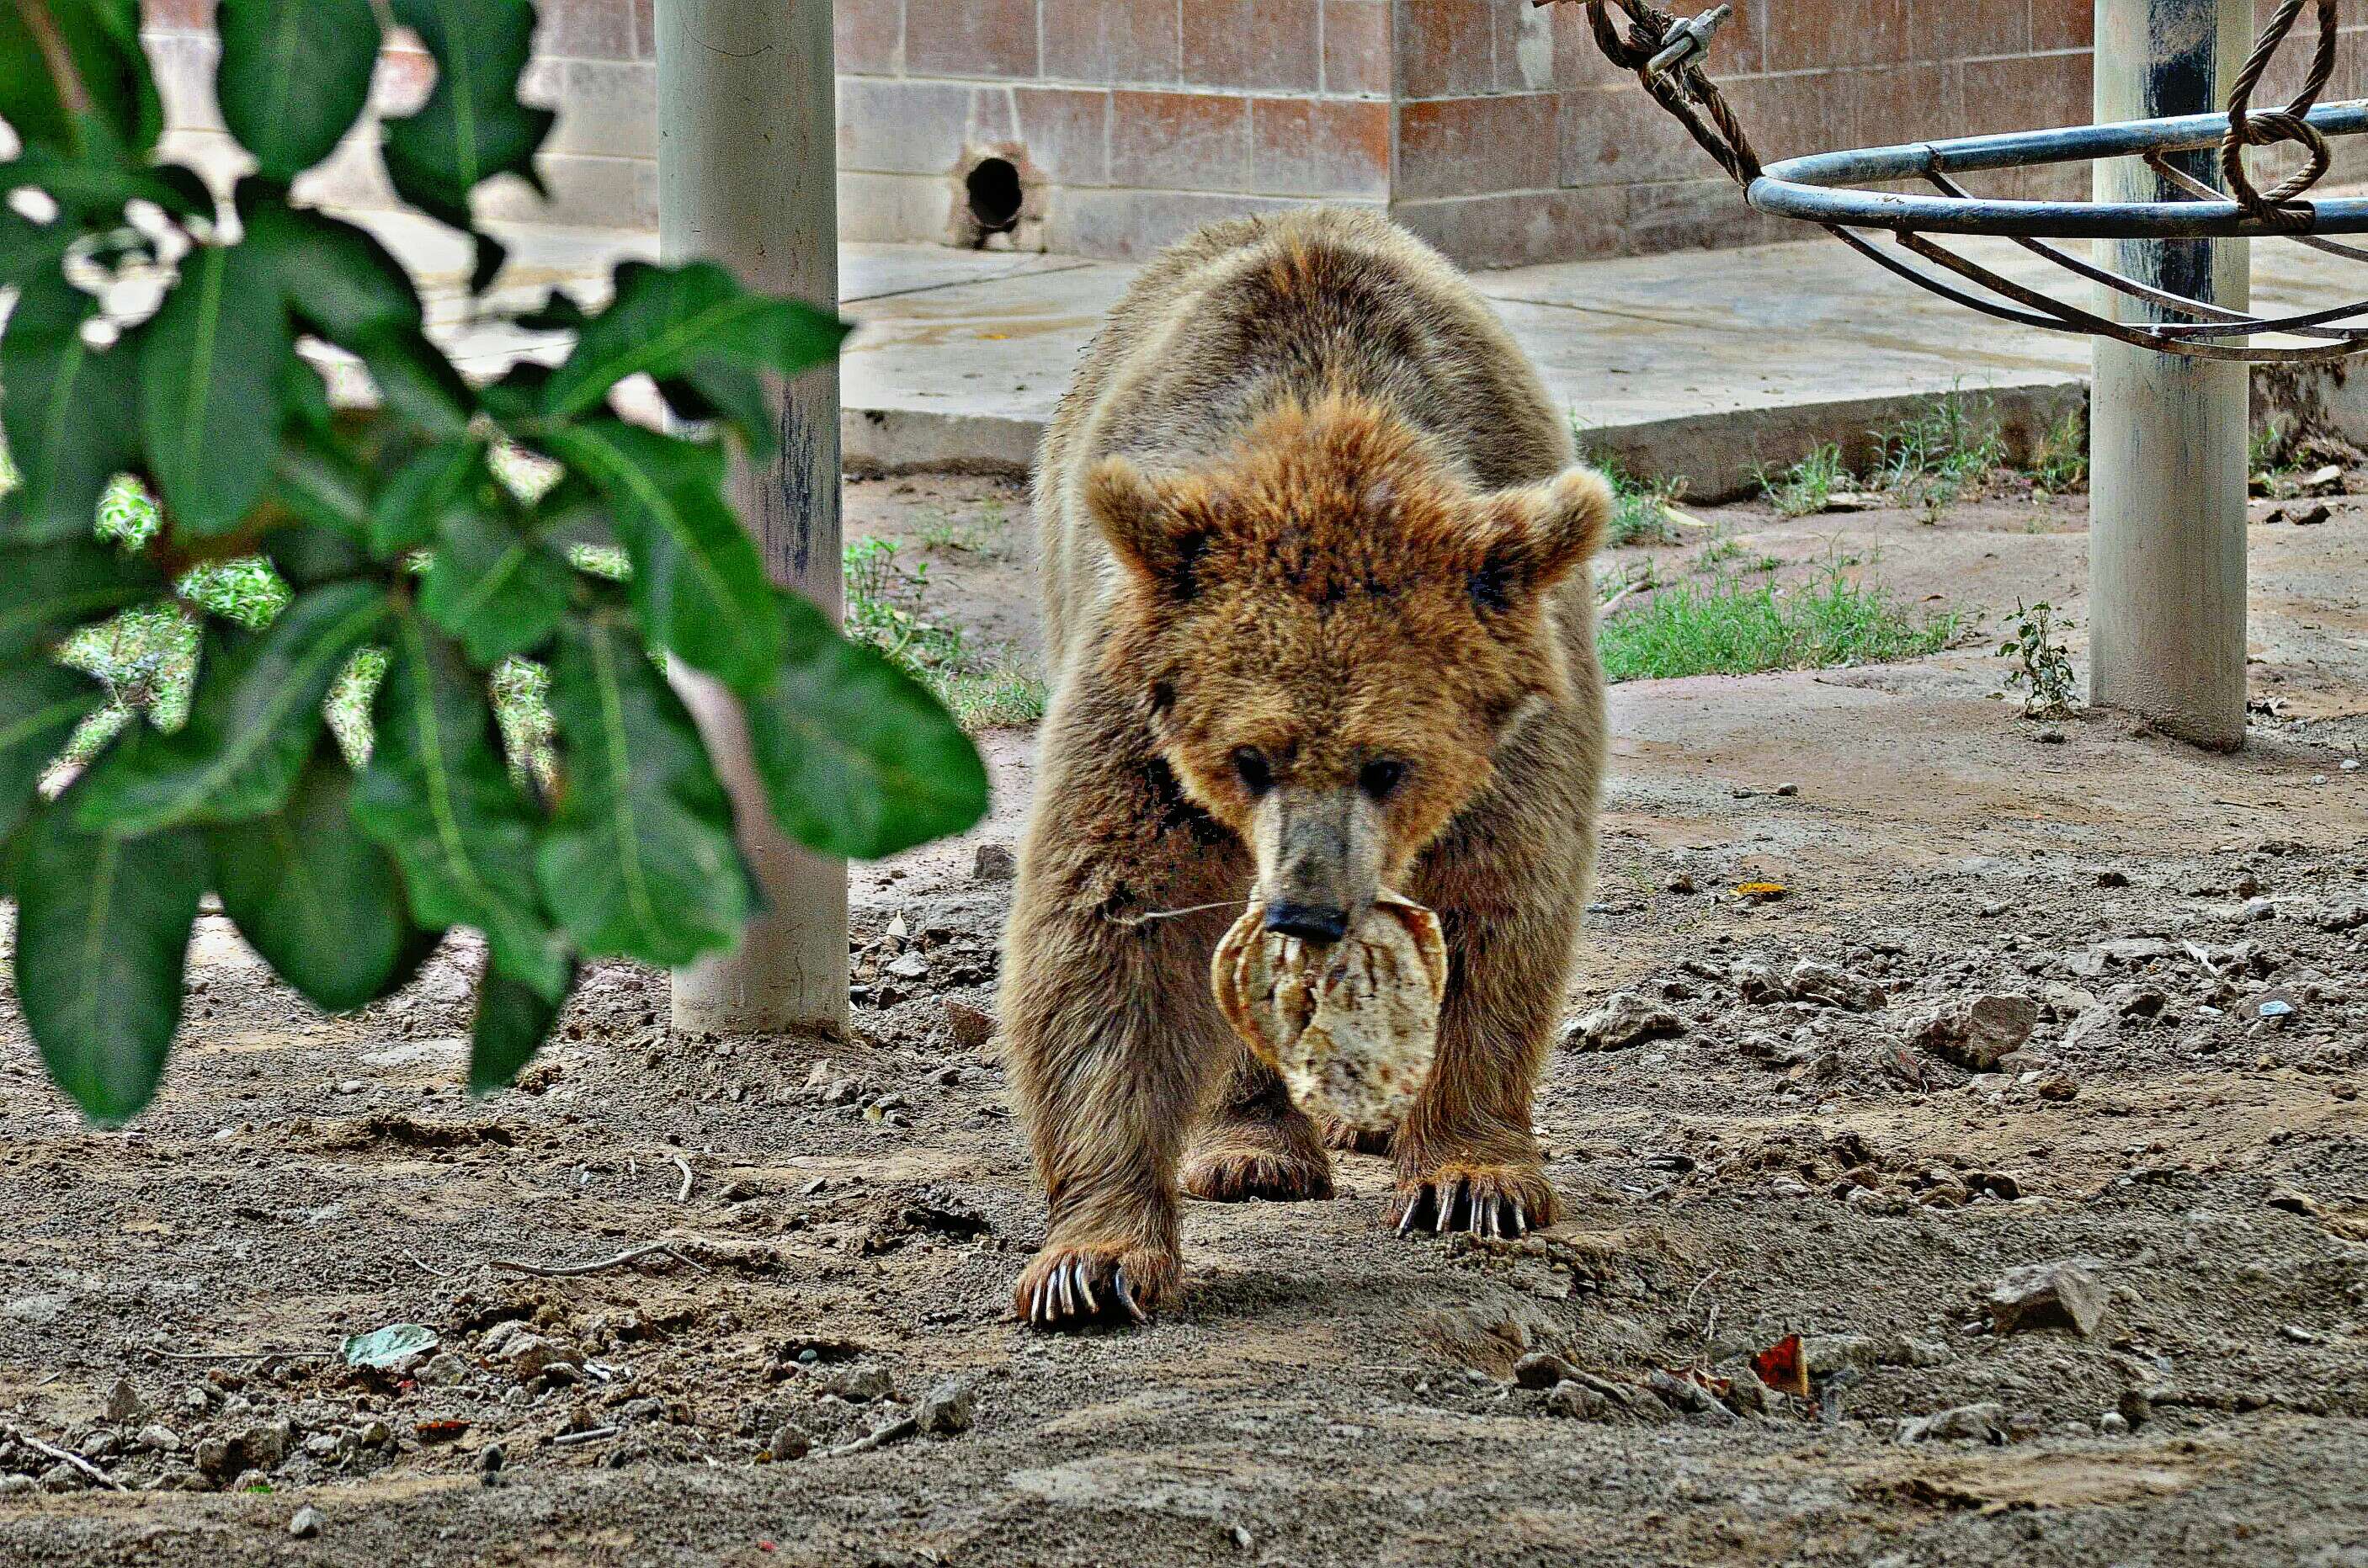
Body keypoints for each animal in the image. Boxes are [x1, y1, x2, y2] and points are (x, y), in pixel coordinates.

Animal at [999, 205, 1610, 1326]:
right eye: (1250, 757)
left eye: (1388, 764)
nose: (1306, 909)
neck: (1333, 417)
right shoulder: (1138, 713)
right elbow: (1108, 923)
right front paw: (1091, 1260)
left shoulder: (1516, 727)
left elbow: (1501, 900)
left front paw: (1469, 1177)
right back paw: (1249, 1148)